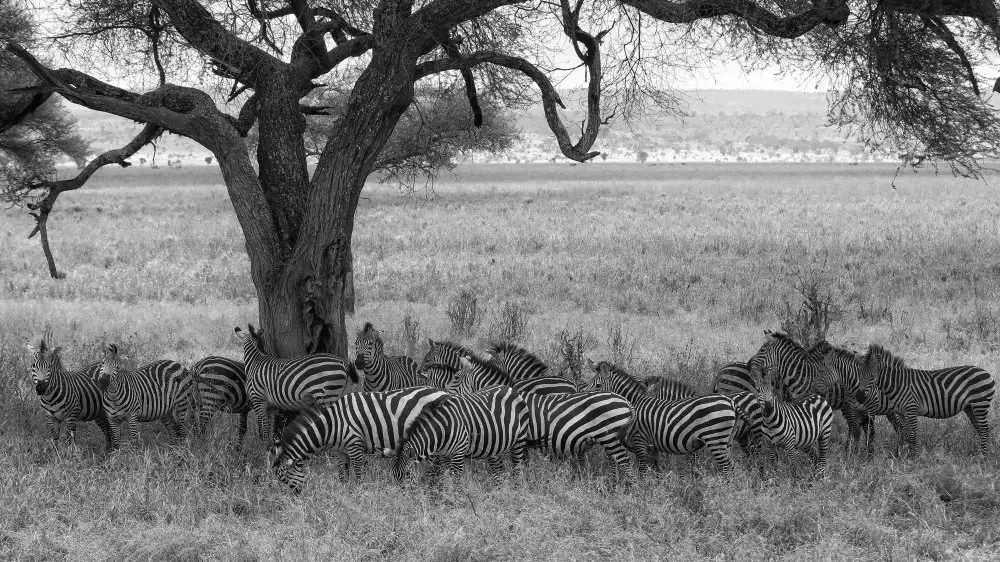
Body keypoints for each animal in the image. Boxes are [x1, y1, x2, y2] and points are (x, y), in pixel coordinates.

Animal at [269, 387, 449, 493]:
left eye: (284, 479)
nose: (295, 499)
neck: (332, 425)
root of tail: (445, 392)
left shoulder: (355, 446)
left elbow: (358, 474)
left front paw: (359, 493)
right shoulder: (340, 451)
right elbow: (343, 475)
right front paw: (345, 494)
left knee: (438, 465)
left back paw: (436, 488)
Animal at [389, 385, 530, 485]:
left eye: (407, 474)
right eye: (393, 476)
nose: (403, 498)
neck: (443, 428)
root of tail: (510, 388)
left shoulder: (458, 452)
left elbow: (454, 480)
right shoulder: (444, 455)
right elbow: (441, 478)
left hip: (519, 440)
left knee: (517, 469)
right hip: (495, 445)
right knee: (499, 471)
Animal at [584, 360, 740, 477]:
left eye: (598, 386)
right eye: (589, 383)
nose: (586, 399)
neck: (634, 403)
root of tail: (731, 403)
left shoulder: (639, 441)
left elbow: (642, 470)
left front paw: (643, 491)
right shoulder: (652, 446)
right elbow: (655, 468)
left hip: (715, 439)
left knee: (726, 467)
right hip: (724, 442)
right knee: (731, 465)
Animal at [856, 344, 995, 456]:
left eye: (872, 377)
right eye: (859, 375)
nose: (859, 397)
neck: (898, 384)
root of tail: (985, 372)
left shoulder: (911, 410)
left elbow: (913, 435)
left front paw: (914, 457)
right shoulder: (901, 413)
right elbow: (906, 434)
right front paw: (907, 456)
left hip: (980, 404)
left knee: (984, 429)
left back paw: (983, 457)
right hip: (970, 407)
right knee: (980, 428)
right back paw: (980, 453)